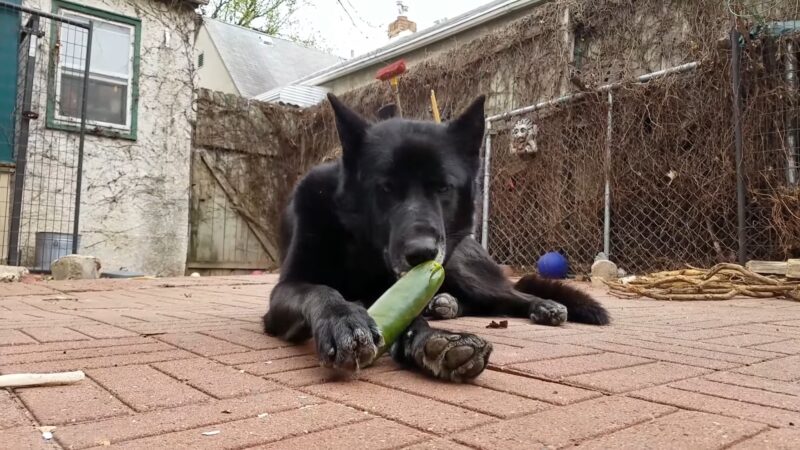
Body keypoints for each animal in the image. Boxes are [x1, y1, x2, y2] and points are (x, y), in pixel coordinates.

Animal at [262, 93, 608, 382]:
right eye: (386, 188)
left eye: (443, 187)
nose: (422, 253)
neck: (361, 249)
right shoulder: (284, 291)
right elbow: (320, 291)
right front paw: (344, 319)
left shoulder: (398, 290)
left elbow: (411, 322)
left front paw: (435, 341)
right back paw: (447, 305)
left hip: (459, 267)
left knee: (510, 293)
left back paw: (544, 306)